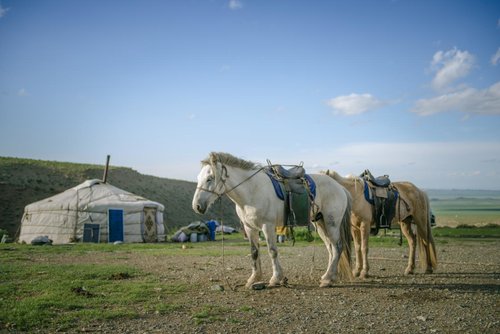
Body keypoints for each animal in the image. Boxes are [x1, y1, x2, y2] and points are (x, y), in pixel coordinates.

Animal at [191, 152, 352, 288]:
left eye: (210, 178)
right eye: (198, 178)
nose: (197, 206)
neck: (252, 190)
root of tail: (340, 188)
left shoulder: (267, 226)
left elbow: (272, 251)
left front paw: (276, 278)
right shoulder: (250, 228)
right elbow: (254, 252)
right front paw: (254, 279)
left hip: (331, 224)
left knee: (337, 247)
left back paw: (327, 279)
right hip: (320, 223)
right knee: (331, 248)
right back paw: (328, 276)